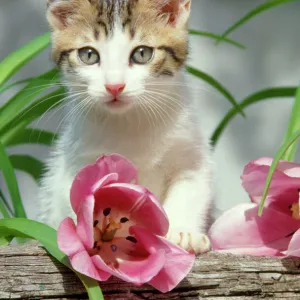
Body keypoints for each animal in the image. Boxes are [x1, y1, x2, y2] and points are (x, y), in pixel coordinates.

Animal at [39, 0, 213, 255]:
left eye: (142, 53)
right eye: (88, 55)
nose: (114, 86)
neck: (131, 121)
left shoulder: (192, 153)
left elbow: (190, 188)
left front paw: (184, 232)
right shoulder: (77, 160)